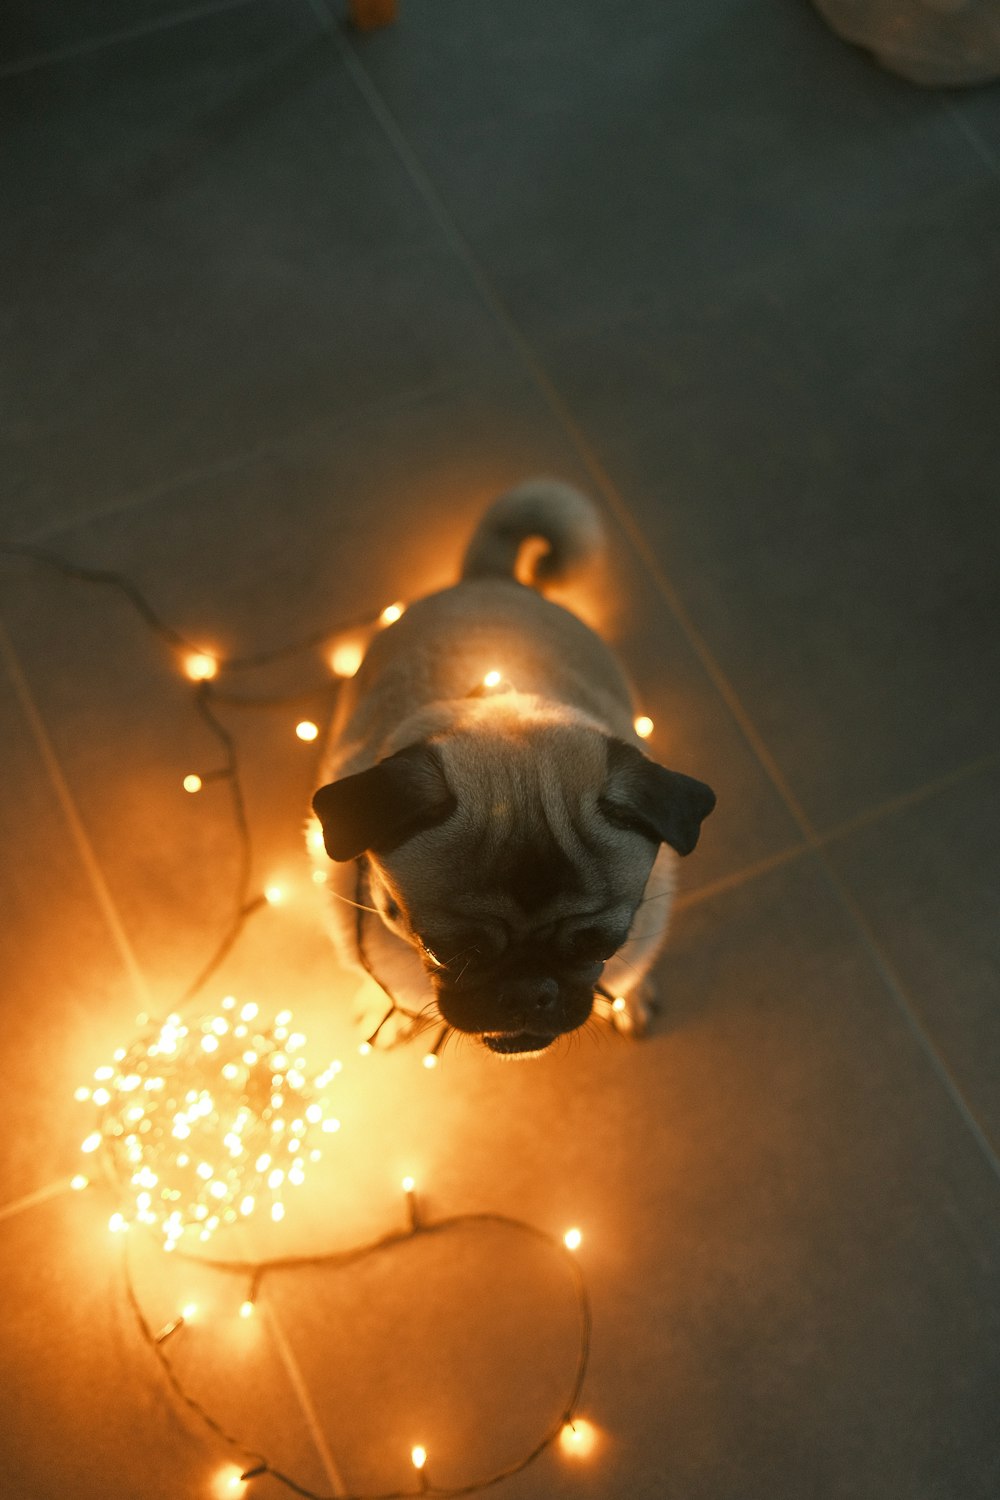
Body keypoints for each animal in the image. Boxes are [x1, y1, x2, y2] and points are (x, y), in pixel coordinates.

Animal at [310, 480, 710, 1056]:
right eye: (443, 952)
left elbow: (633, 969)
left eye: (600, 948)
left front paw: (630, 999)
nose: (528, 992)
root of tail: (489, 578)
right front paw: (383, 1009)